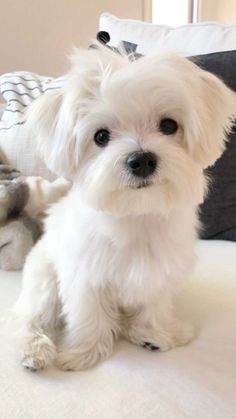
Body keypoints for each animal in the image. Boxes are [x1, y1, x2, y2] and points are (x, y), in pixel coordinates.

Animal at [15, 44, 235, 370]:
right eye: (101, 136)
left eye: (169, 125)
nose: (141, 160)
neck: (136, 213)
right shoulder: (84, 275)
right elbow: (89, 314)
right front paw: (84, 352)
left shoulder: (161, 272)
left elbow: (154, 305)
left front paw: (154, 333)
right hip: (43, 279)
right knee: (31, 316)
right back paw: (34, 349)